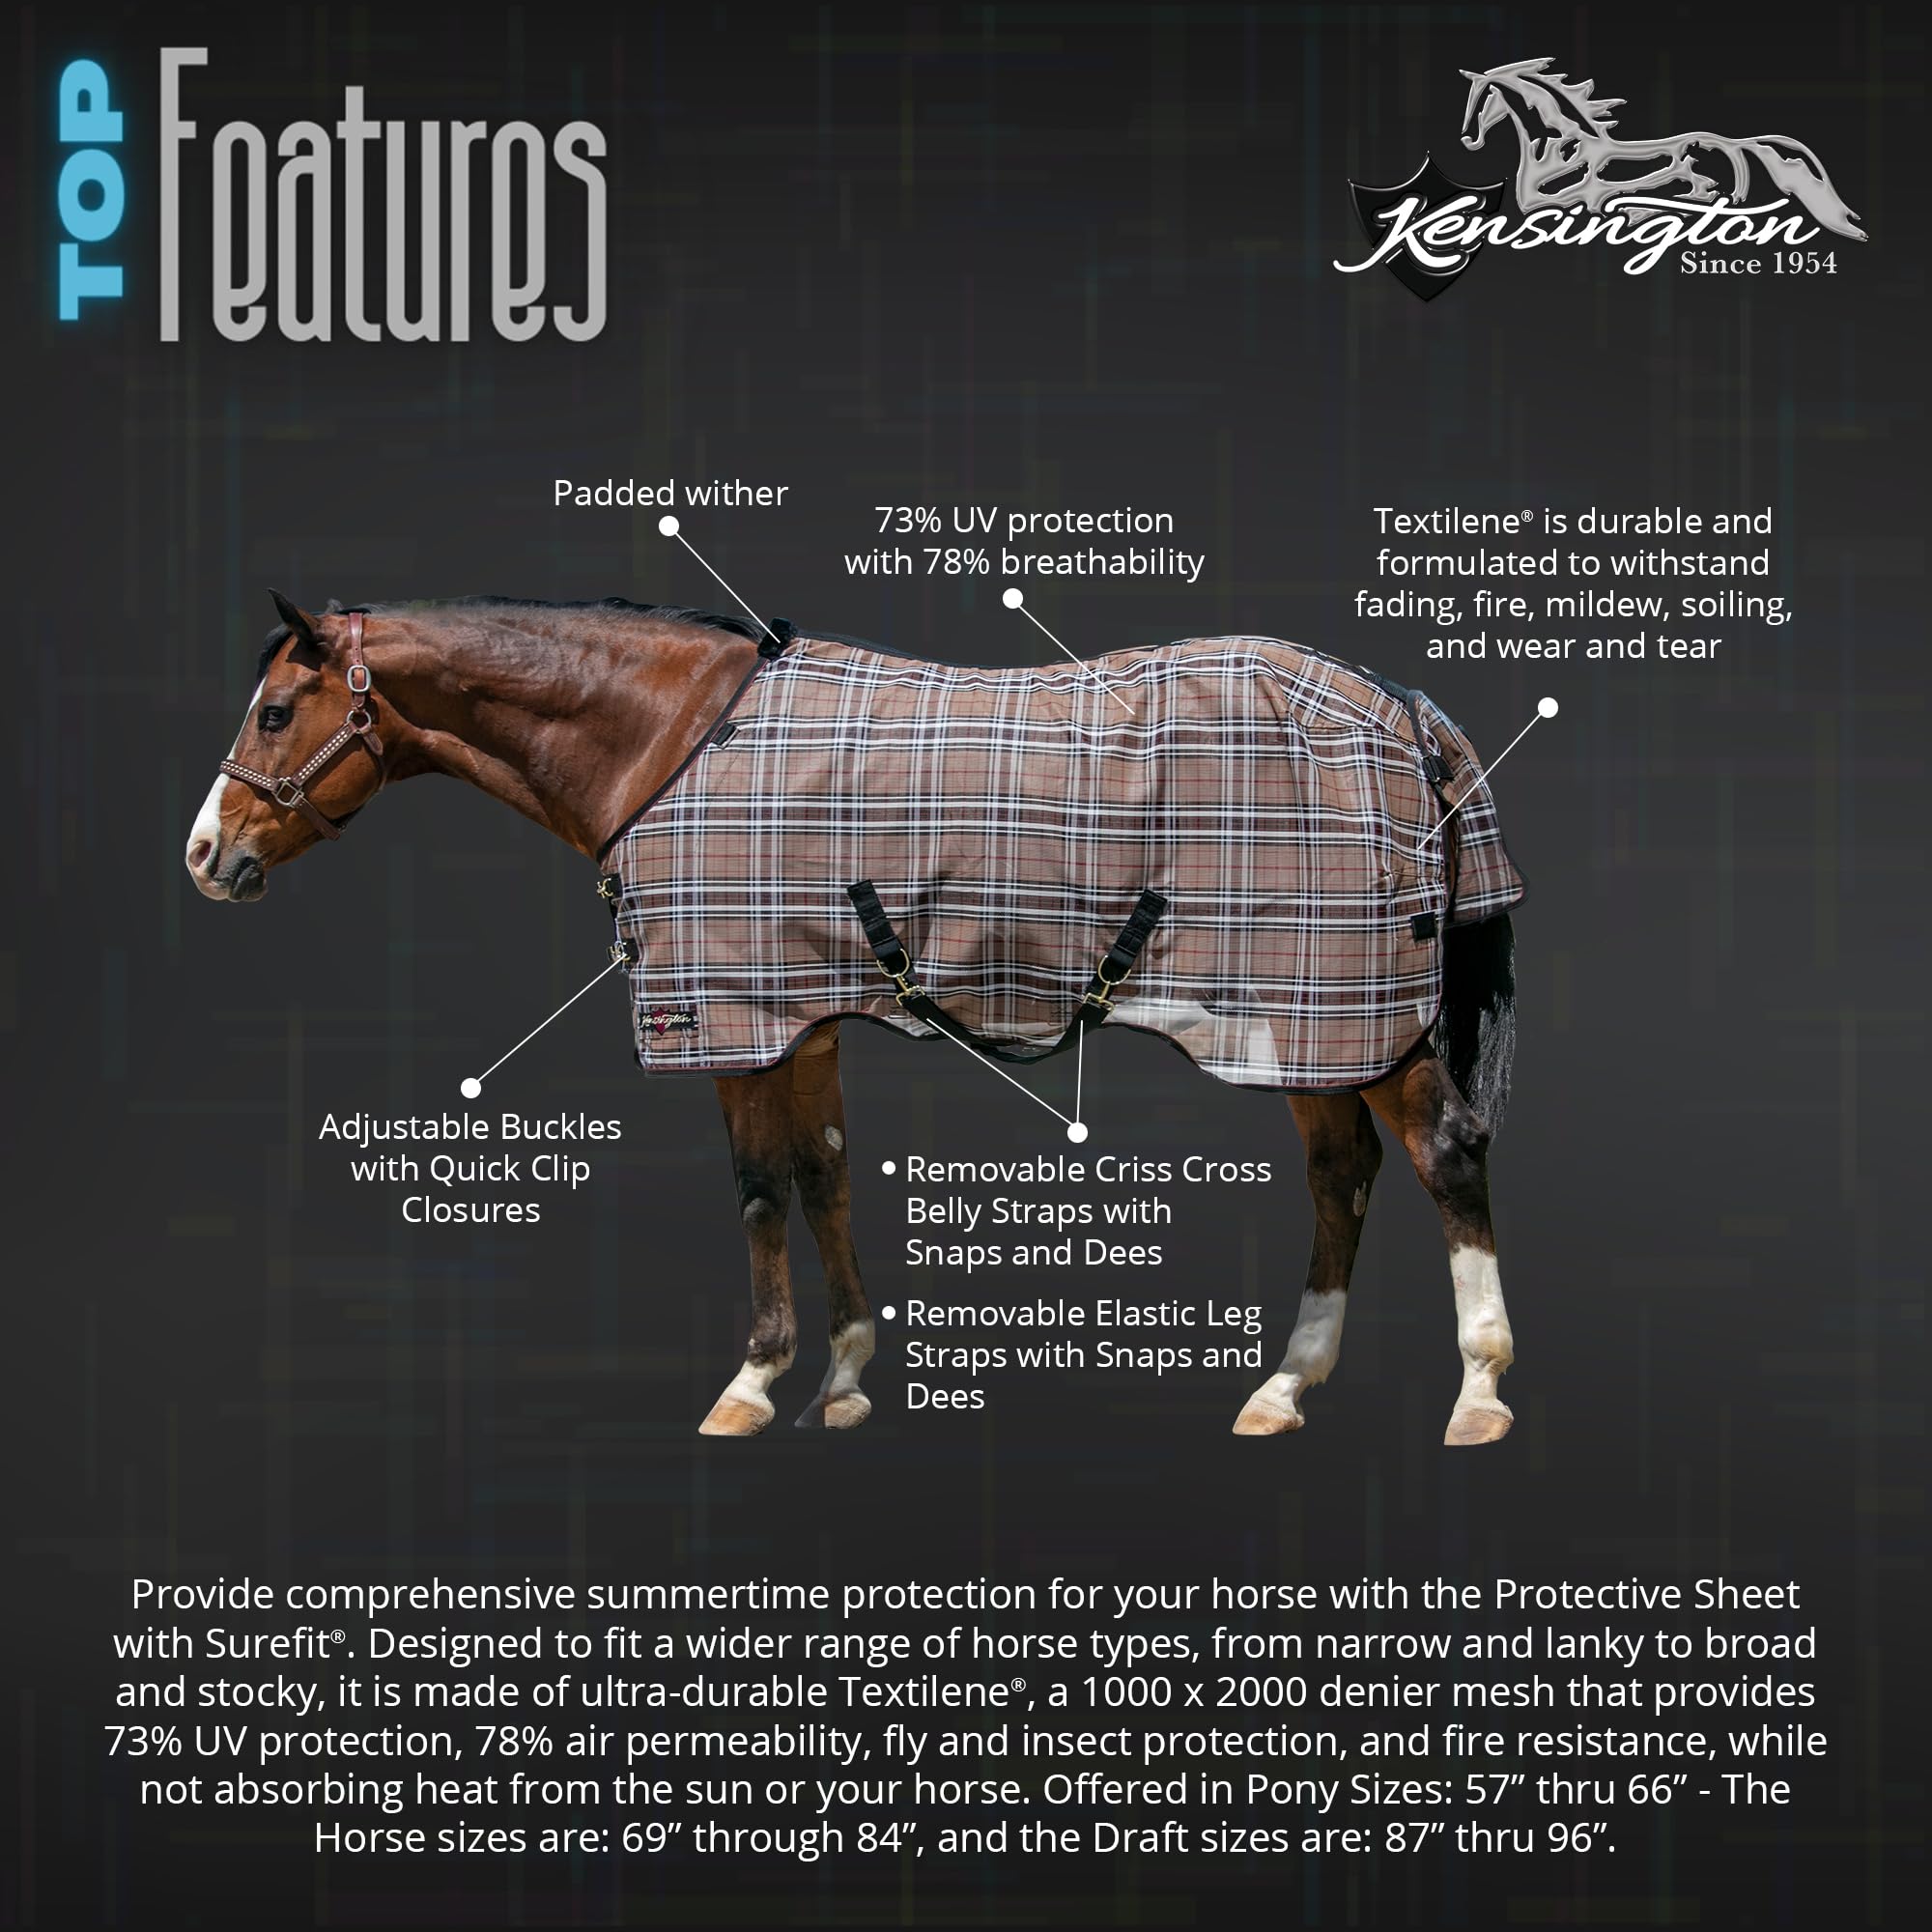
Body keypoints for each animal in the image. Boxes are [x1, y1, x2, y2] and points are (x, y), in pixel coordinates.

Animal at [186, 591, 1523, 1446]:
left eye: (273, 712)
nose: (204, 856)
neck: (674, 743)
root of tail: (1401, 706)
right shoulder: (802, 1018)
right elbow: (822, 1174)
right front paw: (841, 1378)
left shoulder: (725, 1017)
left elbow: (757, 1190)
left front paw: (750, 1383)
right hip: (1308, 1021)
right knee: (1342, 1172)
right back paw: (1285, 1386)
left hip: (1350, 1015)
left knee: (1443, 1153)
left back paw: (1476, 1392)